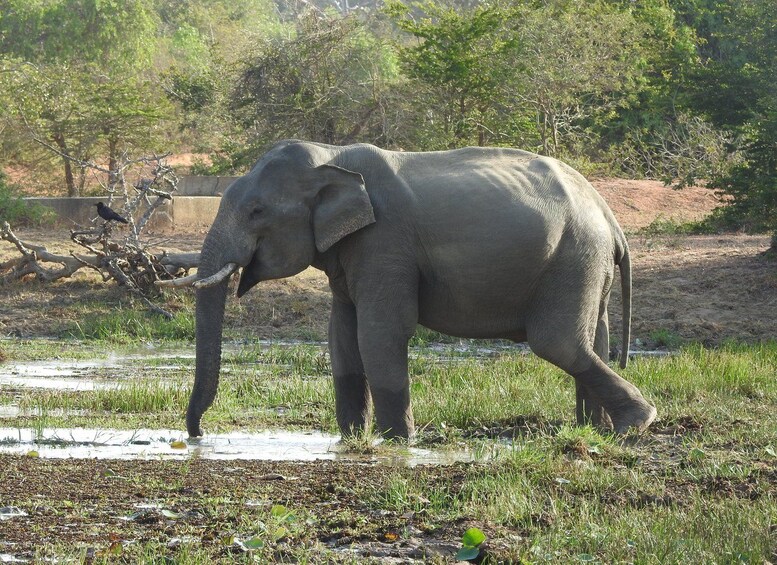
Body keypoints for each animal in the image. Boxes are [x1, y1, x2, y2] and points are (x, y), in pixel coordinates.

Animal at [167, 140, 657, 439]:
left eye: (256, 211)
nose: (197, 434)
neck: (331, 155)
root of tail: (610, 216)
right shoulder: (349, 251)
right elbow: (342, 335)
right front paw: (350, 441)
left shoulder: (384, 241)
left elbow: (380, 333)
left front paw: (396, 442)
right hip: (587, 262)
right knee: (593, 340)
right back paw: (593, 430)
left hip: (573, 257)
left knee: (559, 342)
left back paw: (635, 424)